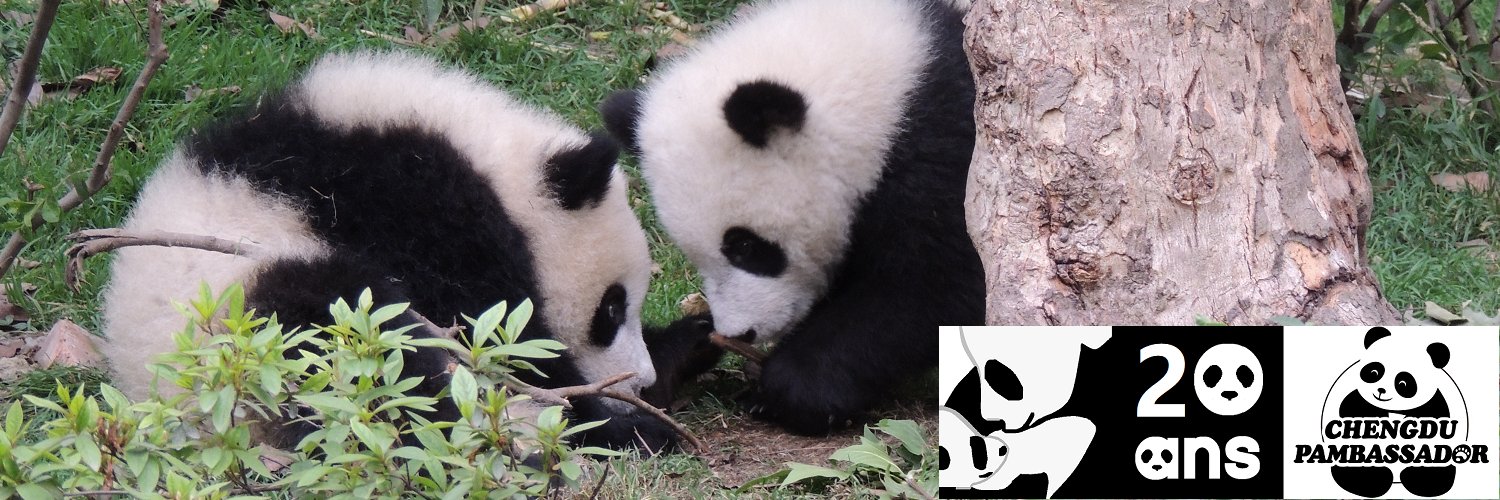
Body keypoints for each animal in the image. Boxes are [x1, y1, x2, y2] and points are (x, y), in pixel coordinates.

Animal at [100, 51, 708, 451]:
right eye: (610, 309)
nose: (640, 384)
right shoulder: (415, 207)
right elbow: (492, 329)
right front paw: (615, 411)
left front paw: (687, 342)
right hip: (241, 320)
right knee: (357, 353)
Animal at [598, 0, 983, 435]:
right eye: (694, 255)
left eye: (745, 246)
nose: (740, 332)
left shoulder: (943, 152)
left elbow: (932, 288)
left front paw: (791, 390)